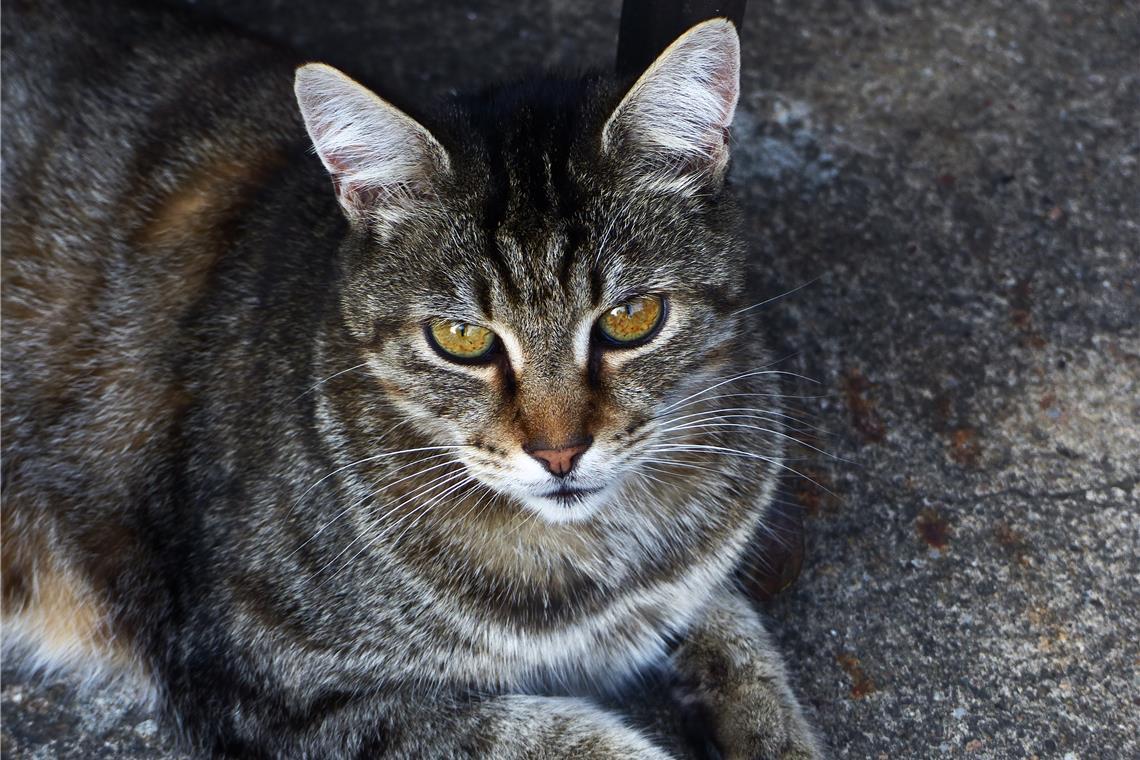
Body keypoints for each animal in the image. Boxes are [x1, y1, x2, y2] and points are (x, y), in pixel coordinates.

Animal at [0, 1, 820, 756]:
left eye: (630, 318)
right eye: (462, 339)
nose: (559, 452)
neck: (599, 565)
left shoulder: (687, 581)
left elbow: (736, 636)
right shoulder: (267, 687)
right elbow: (564, 735)